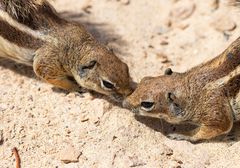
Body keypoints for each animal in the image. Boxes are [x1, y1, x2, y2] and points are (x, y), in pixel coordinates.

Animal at [0, 0, 133, 101]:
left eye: (126, 68)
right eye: (107, 84)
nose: (130, 92)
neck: (76, 45)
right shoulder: (47, 62)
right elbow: (49, 76)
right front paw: (75, 88)